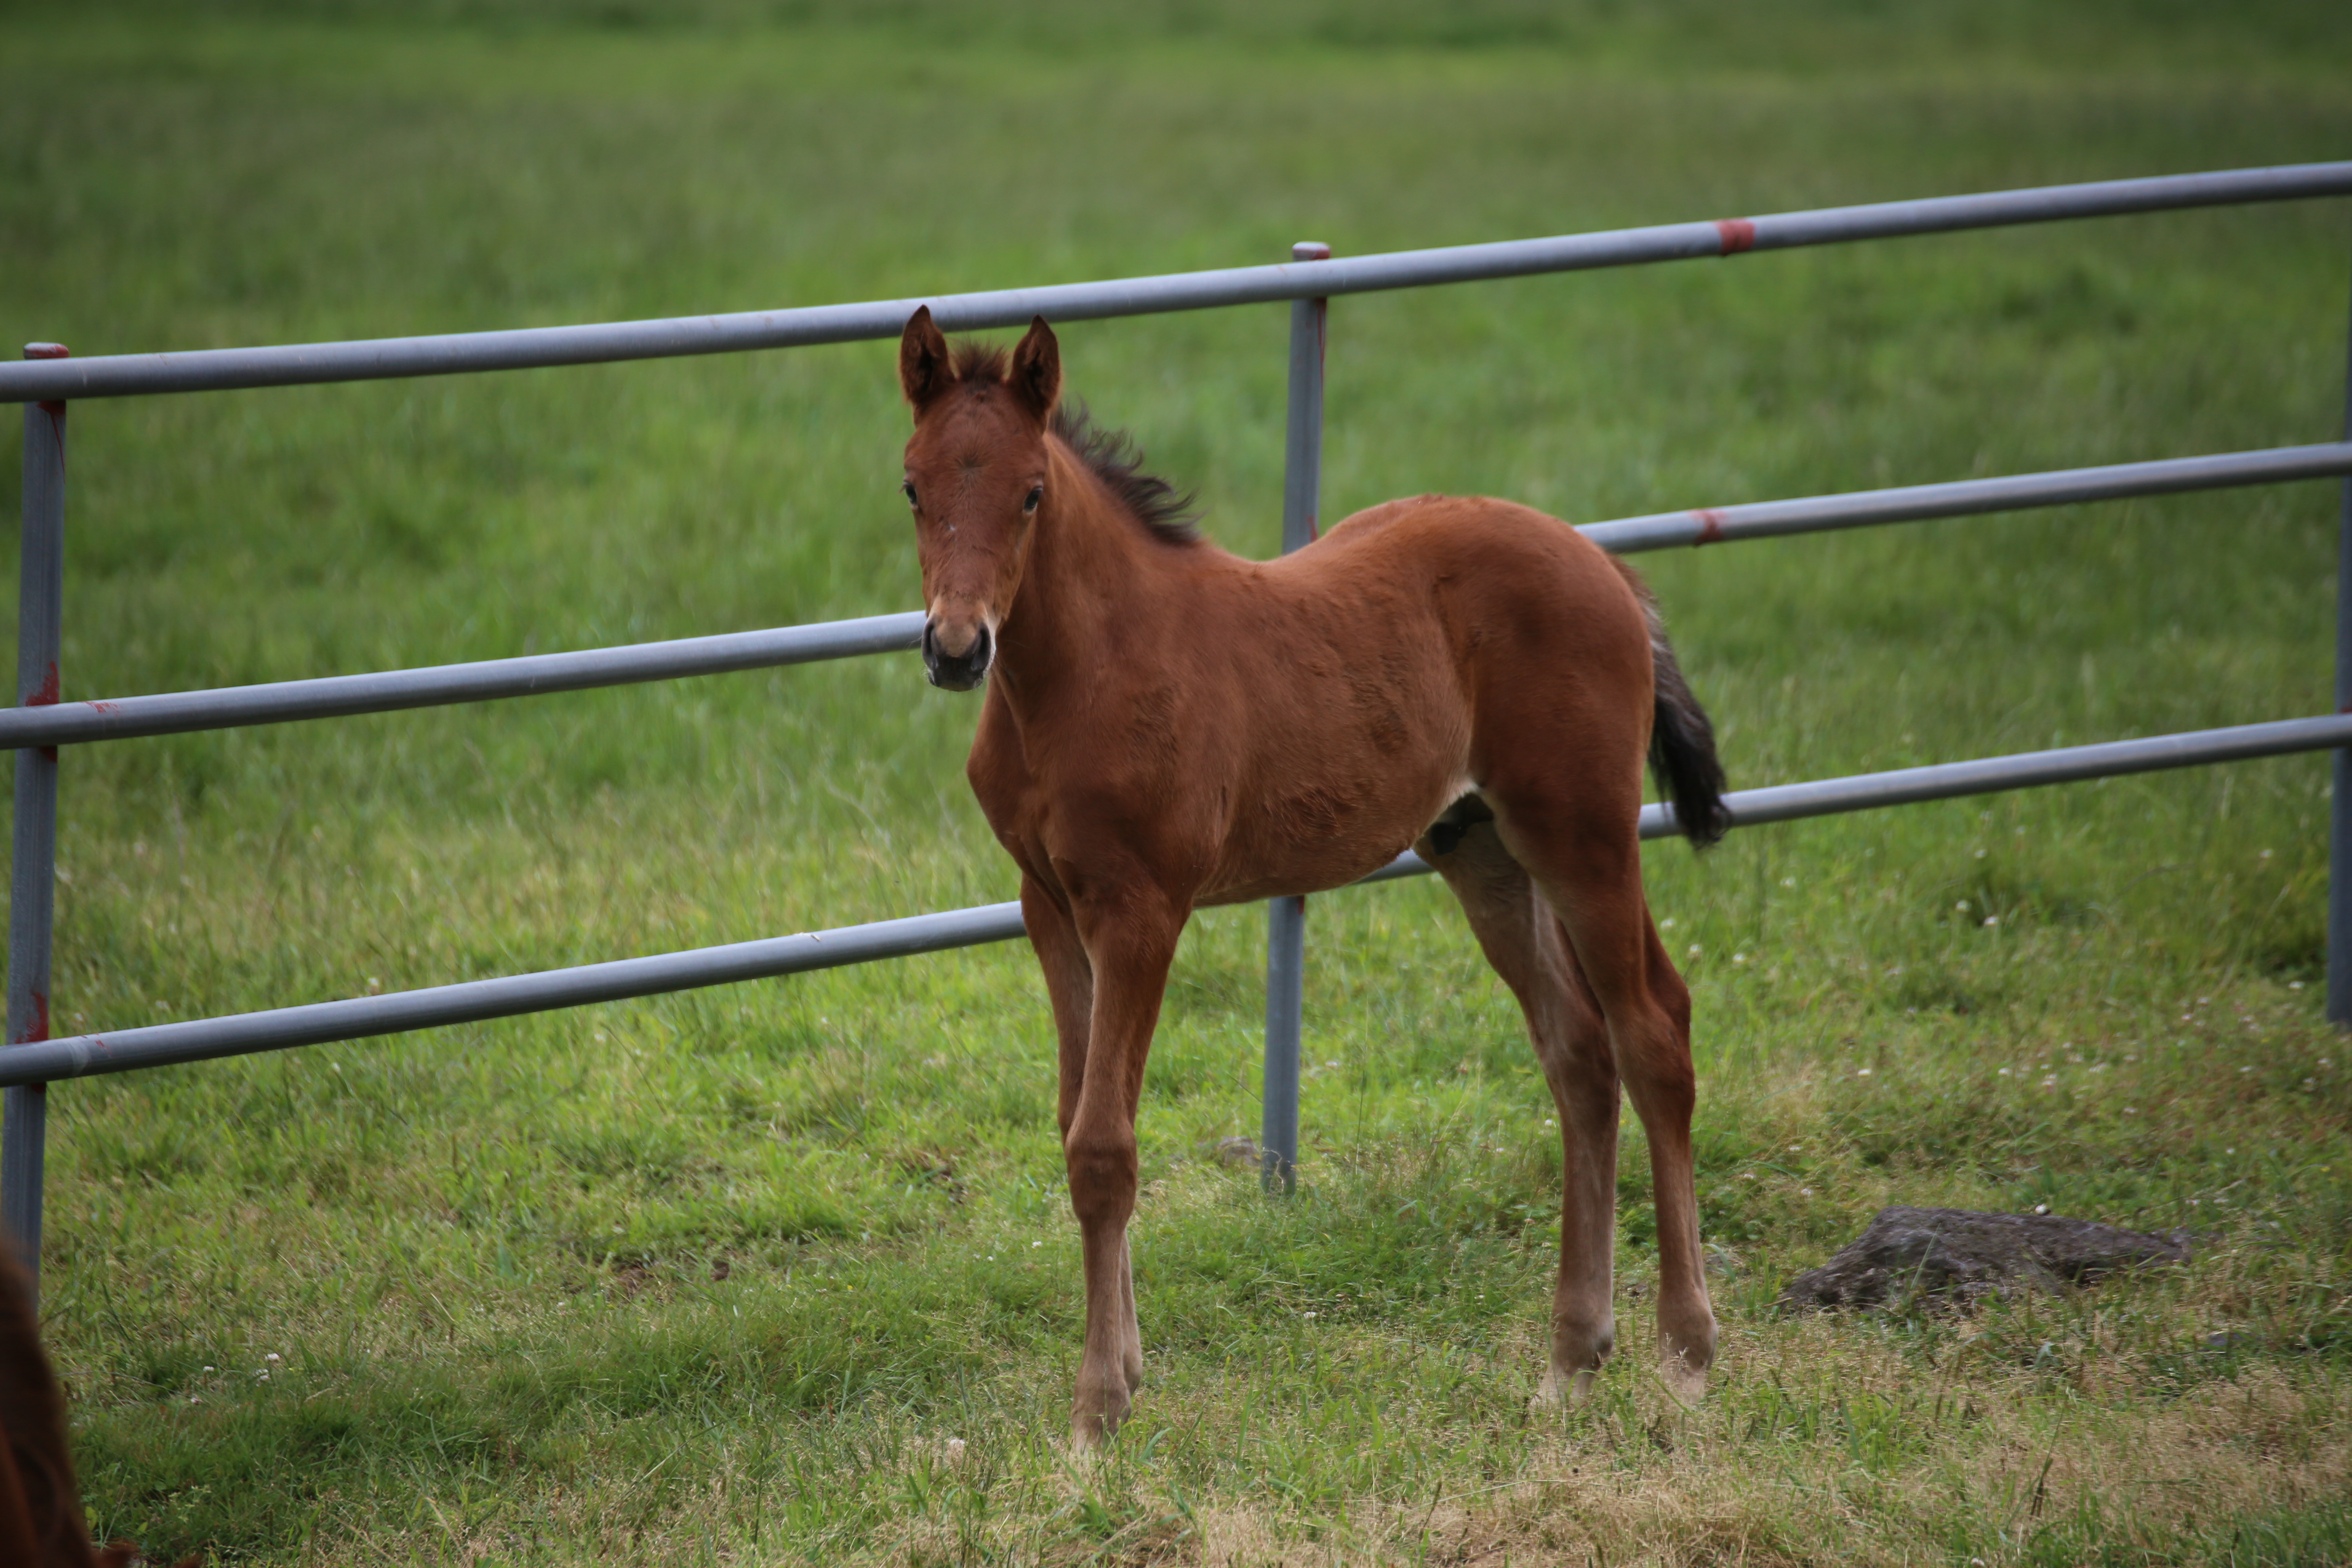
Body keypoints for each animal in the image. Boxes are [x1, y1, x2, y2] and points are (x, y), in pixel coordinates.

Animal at [893, 305, 1731, 1448]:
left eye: (1029, 491)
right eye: (912, 485)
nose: (954, 648)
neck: (1083, 673)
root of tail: (1603, 565)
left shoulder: (1143, 908)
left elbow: (1104, 1146)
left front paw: (1097, 1414)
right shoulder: (1047, 905)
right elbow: (1075, 1117)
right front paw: (1127, 1369)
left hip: (1583, 835)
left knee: (1653, 1030)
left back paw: (1685, 1357)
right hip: (1481, 847)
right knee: (1578, 1052)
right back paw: (1570, 1361)